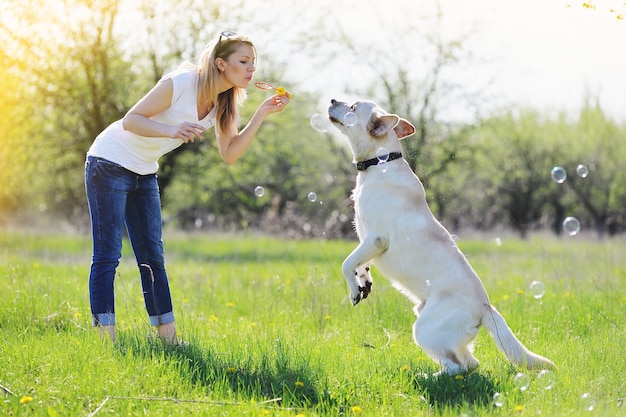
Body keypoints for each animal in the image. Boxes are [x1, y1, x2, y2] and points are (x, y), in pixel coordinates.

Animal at [326, 98, 552, 374]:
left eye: (353, 106)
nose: (332, 100)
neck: (380, 163)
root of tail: (486, 307)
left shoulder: (376, 238)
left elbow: (346, 263)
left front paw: (353, 291)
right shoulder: (365, 239)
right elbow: (359, 263)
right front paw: (363, 282)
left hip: (425, 329)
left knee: (457, 367)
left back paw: (427, 376)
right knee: (469, 363)